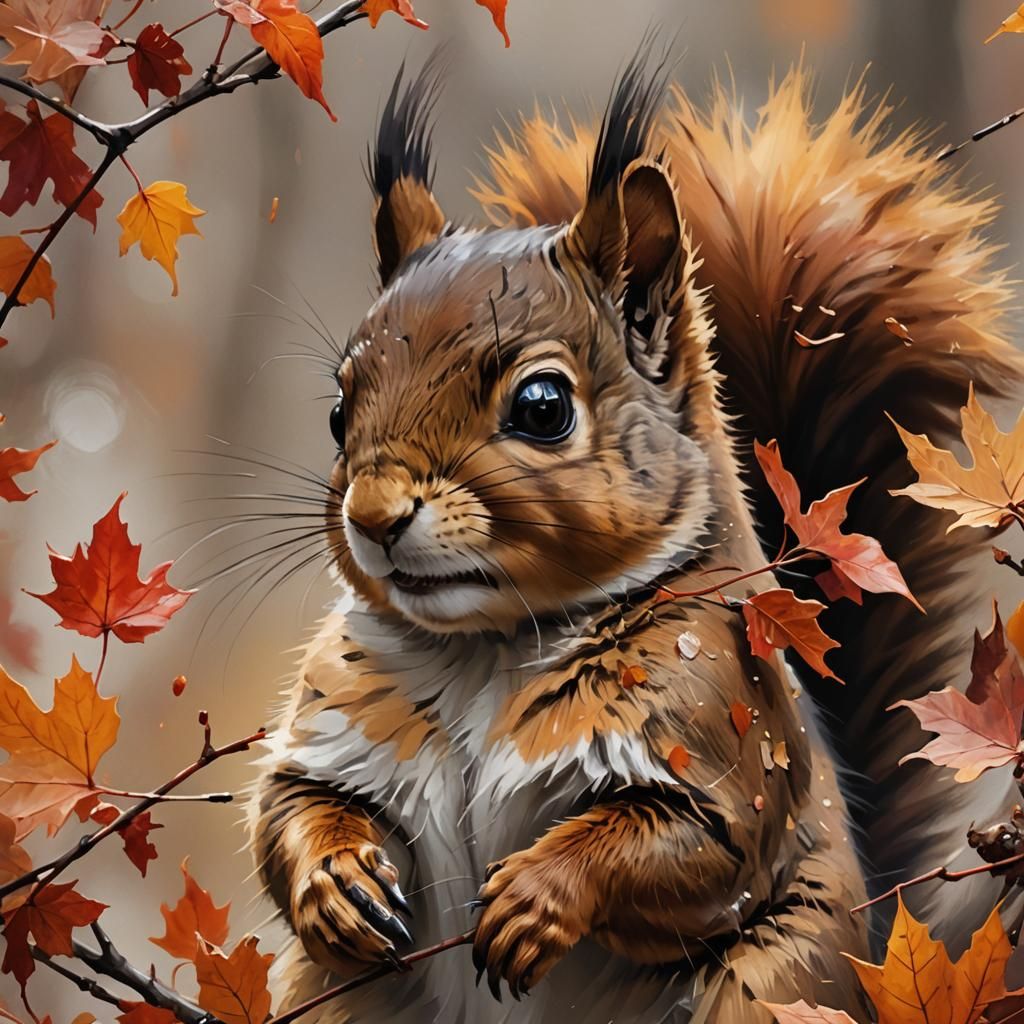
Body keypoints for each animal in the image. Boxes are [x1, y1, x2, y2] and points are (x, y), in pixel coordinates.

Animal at [248, 44, 1024, 1023]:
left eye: (542, 407)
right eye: (338, 412)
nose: (374, 516)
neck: (484, 654)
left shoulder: (725, 737)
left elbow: (683, 848)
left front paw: (535, 895)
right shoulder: (337, 729)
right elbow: (288, 810)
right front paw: (336, 881)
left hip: (770, 985)